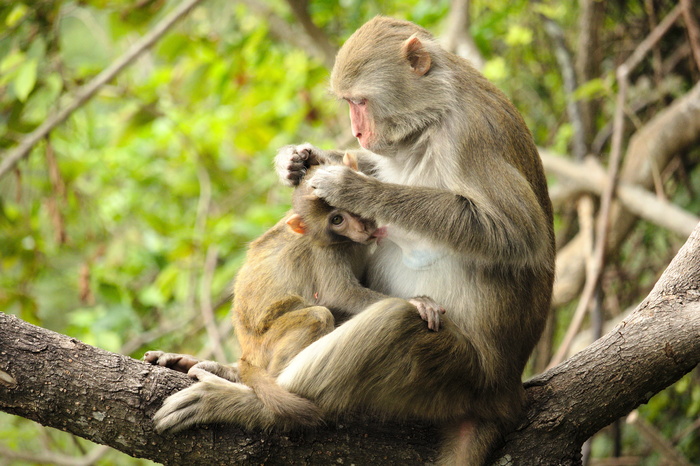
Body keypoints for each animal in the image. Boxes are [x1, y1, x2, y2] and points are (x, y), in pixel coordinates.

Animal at [156, 16, 556, 464]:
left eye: (360, 101)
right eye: (348, 102)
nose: (357, 131)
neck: (433, 116)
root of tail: (504, 394)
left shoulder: (468, 136)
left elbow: (517, 235)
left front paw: (352, 186)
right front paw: (295, 159)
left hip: (460, 376)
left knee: (394, 323)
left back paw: (249, 404)